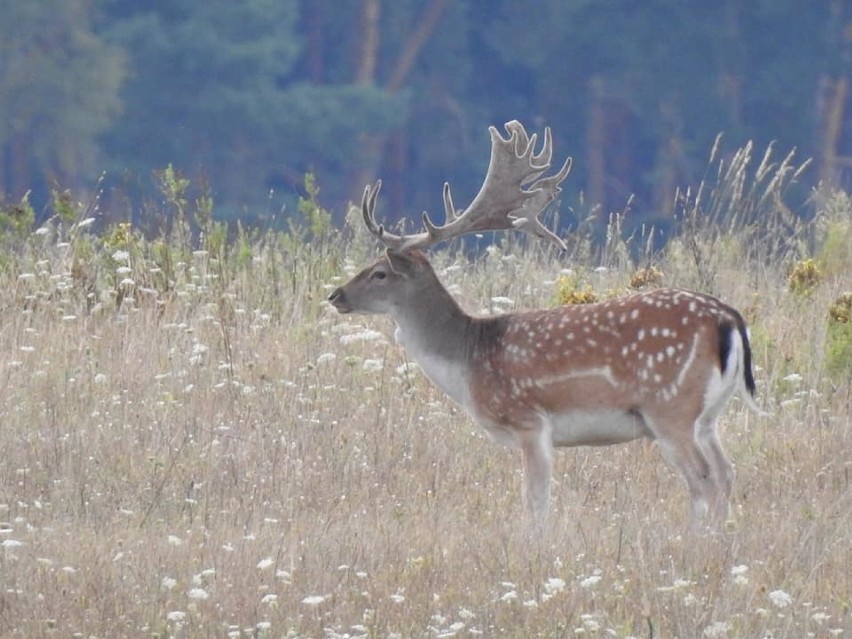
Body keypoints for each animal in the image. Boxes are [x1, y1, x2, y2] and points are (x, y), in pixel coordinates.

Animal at [326, 120, 760, 528]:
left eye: (380, 273)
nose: (336, 295)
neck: (468, 360)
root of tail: (729, 318)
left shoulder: (528, 420)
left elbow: (535, 501)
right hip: (707, 416)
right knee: (726, 472)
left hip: (670, 406)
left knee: (703, 478)